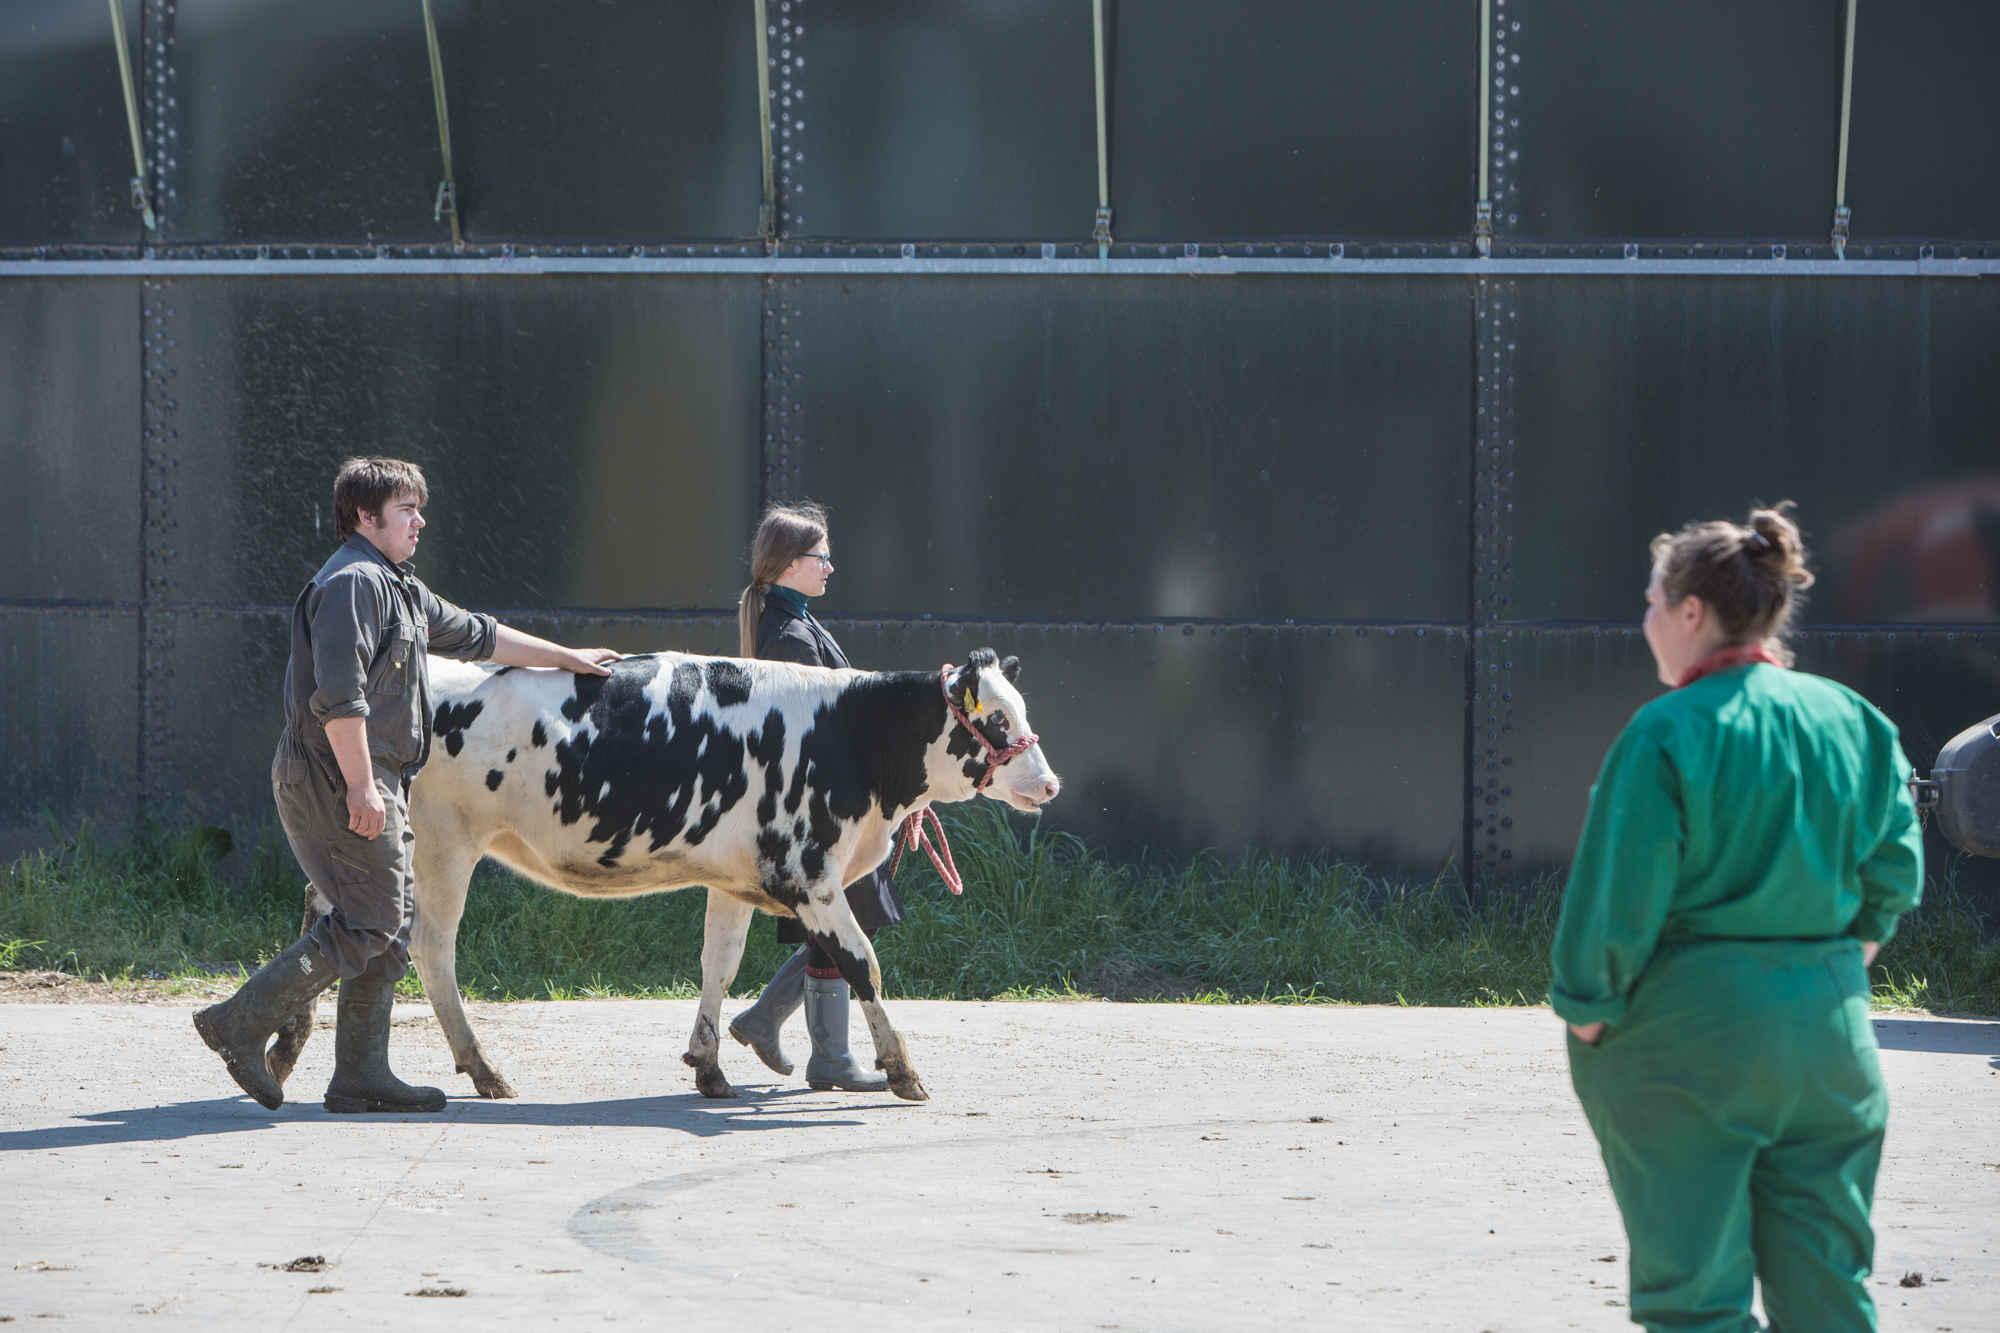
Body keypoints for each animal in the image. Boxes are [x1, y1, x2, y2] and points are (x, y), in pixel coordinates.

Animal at [390, 644, 1056, 1096]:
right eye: (997, 717)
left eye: (1023, 710)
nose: (1050, 784)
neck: (851, 734)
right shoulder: (808, 874)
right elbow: (861, 962)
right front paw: (902, 1070)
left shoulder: (736, 876)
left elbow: (720, 963)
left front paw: (708, 1066)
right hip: (443, 844)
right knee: (432, 948)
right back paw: (483, 1068)